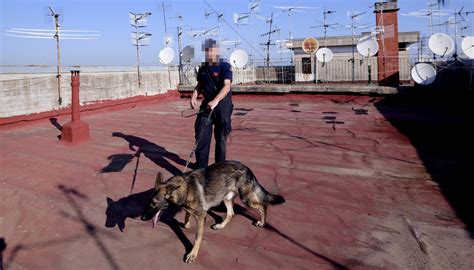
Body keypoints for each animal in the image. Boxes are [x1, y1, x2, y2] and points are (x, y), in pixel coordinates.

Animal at [141, 161, 286, 262]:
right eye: (148, 202)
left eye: (153, 204)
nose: (142, 218)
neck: (186, 189)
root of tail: (247, 168)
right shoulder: (193, 210)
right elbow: (187, 216)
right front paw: (187, 224)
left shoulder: (201, 217)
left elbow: (197, 238)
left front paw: (192, 254)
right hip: (225, 198)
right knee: (231, 213)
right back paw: (220, 225)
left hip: (247, 199)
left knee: (263, 206)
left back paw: (262, 222)